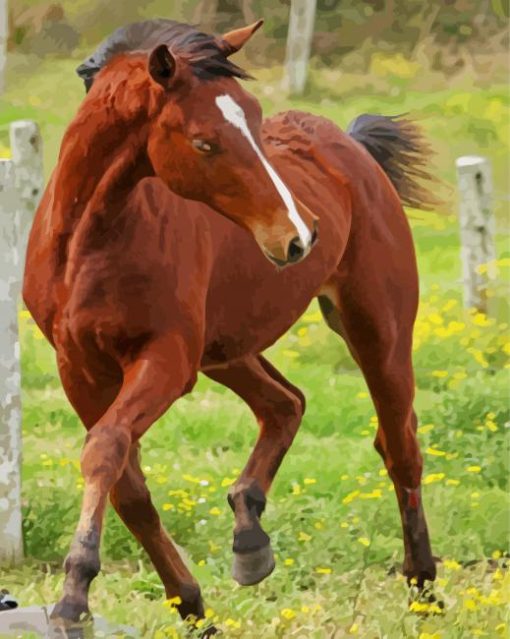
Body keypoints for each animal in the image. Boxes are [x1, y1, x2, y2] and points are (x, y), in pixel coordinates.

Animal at [22, 18, 438, 636]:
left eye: (256, 121)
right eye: (203, 142)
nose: (298, 236)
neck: (87, 245)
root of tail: (352, 147)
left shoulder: (166, 359)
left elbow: (106, 449)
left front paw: (73, 598)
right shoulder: (79, 369)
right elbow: (127, 484)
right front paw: (189, 603)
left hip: (375, 327)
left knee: (399, 444)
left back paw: (424, 591)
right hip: (227, 349)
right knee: (285, 403)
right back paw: (249, 539)